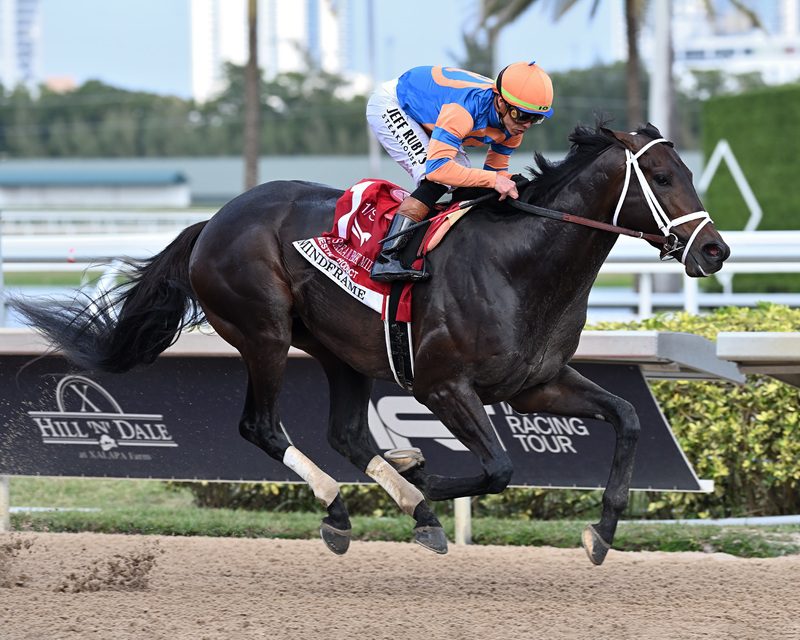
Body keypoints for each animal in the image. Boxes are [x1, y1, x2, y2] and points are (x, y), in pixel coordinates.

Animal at [9, 122, 728, 564]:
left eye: (691, 172)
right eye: (663, 176)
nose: (715, 251)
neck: (519, 264)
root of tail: (213, 220)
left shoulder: (536, 383)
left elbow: (629, 417)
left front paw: (602, 531)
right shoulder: (442, 385)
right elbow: (499, 467)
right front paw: (423, 475)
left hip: (342, 353)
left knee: (349, 433)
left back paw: (403, 504)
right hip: (264, 333)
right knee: (262, 426)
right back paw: (353, 504)